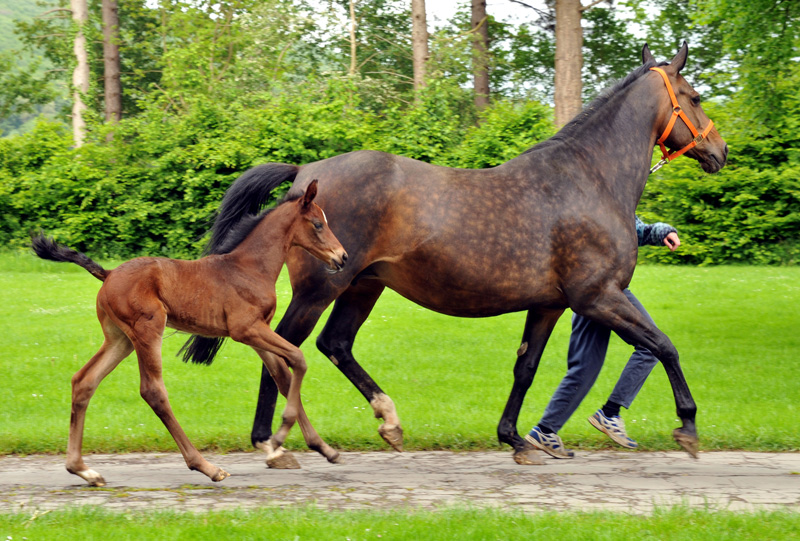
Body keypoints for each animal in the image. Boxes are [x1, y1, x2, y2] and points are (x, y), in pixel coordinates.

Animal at [32, 178, 346, 486]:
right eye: (318, 224)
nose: (342, 257)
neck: (250, 267)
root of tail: (108, 274)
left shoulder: (259, 332)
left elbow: (282, 376)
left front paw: (324, 448)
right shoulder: (246, 329)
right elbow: (298, 359)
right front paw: (279, 438)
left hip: (120, 339)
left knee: (84, 381)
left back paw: (82, 470)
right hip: (148, 329)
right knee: (153, 391)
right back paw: (207, 467)